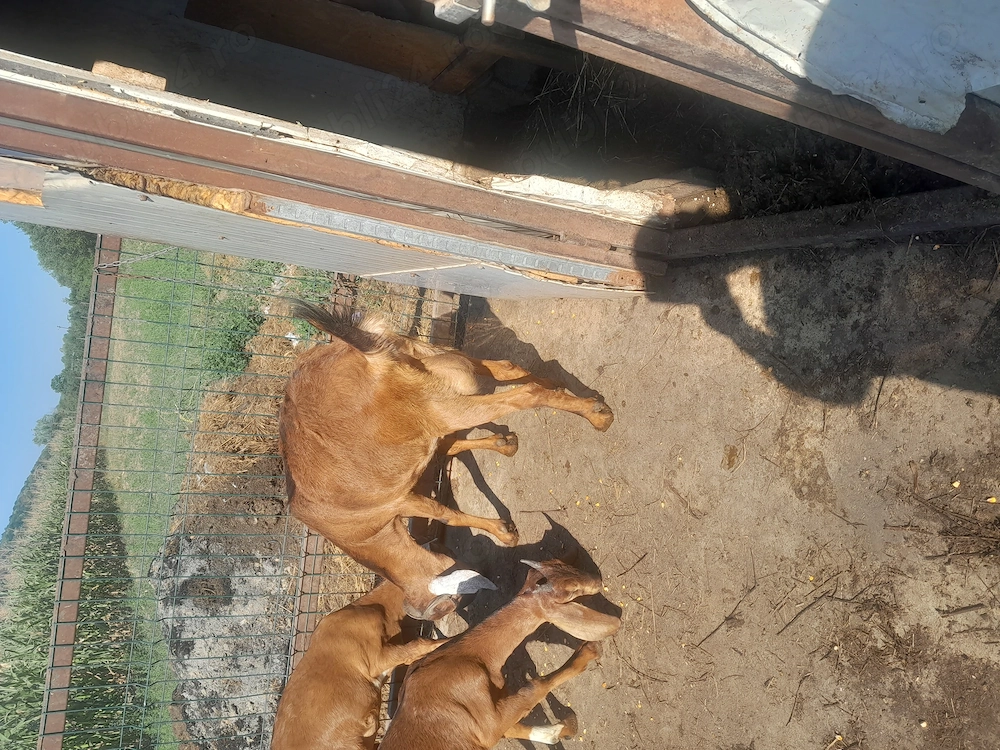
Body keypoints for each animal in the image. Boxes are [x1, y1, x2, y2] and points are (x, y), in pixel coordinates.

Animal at [279, 301, 614, 620]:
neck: (351, 530)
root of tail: (366, 354)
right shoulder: (423, 451)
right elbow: (450, 450)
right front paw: (504, 443)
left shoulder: (399, 501)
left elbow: (446, 513)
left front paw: (504, 531)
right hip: (431, 359)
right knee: (507, 368)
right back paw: (559, 386)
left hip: (440, 404)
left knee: (524, 395)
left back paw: (596, 415)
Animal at [379, 559, 621, 749]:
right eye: (572, 589)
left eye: (562, 564)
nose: (597, 580)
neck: (468, 655)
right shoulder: (488, 724)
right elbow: (535, 687)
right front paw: (589, 651)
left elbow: (514, 725)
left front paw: (565, 728)